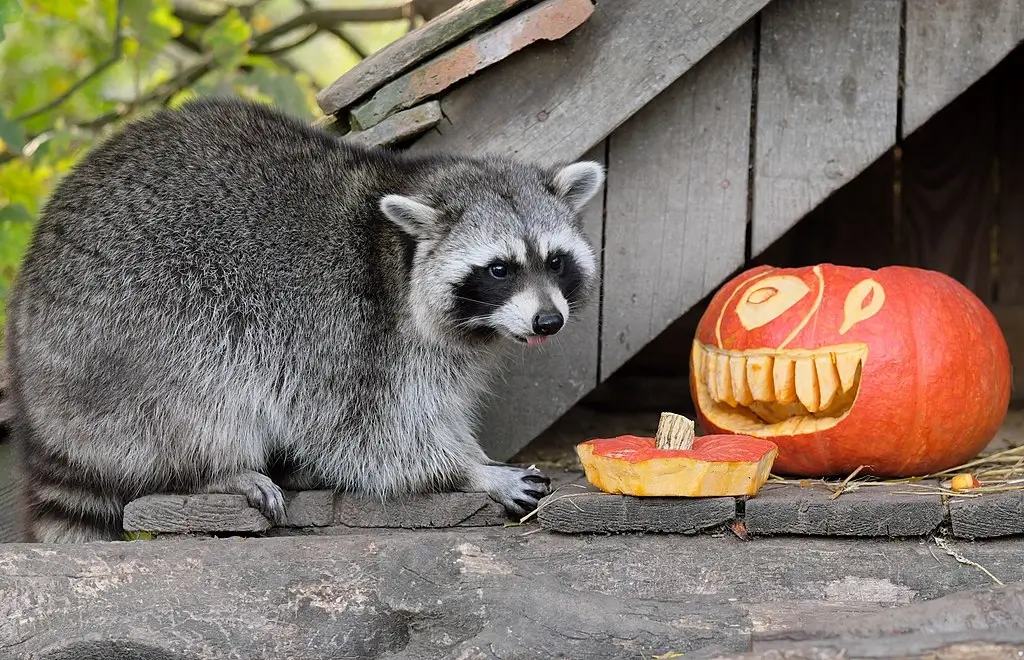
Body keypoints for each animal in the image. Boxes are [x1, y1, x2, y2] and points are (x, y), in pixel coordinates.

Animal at [4, 96, 602, 540]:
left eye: (554, 261)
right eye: (500, 269)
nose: (548, 321)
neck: (400, 250)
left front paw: (474, 454)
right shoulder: (351, 338)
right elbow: (372, 437)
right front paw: (472, 473)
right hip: (137, 328)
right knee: (200, 392)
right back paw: (216, 470)